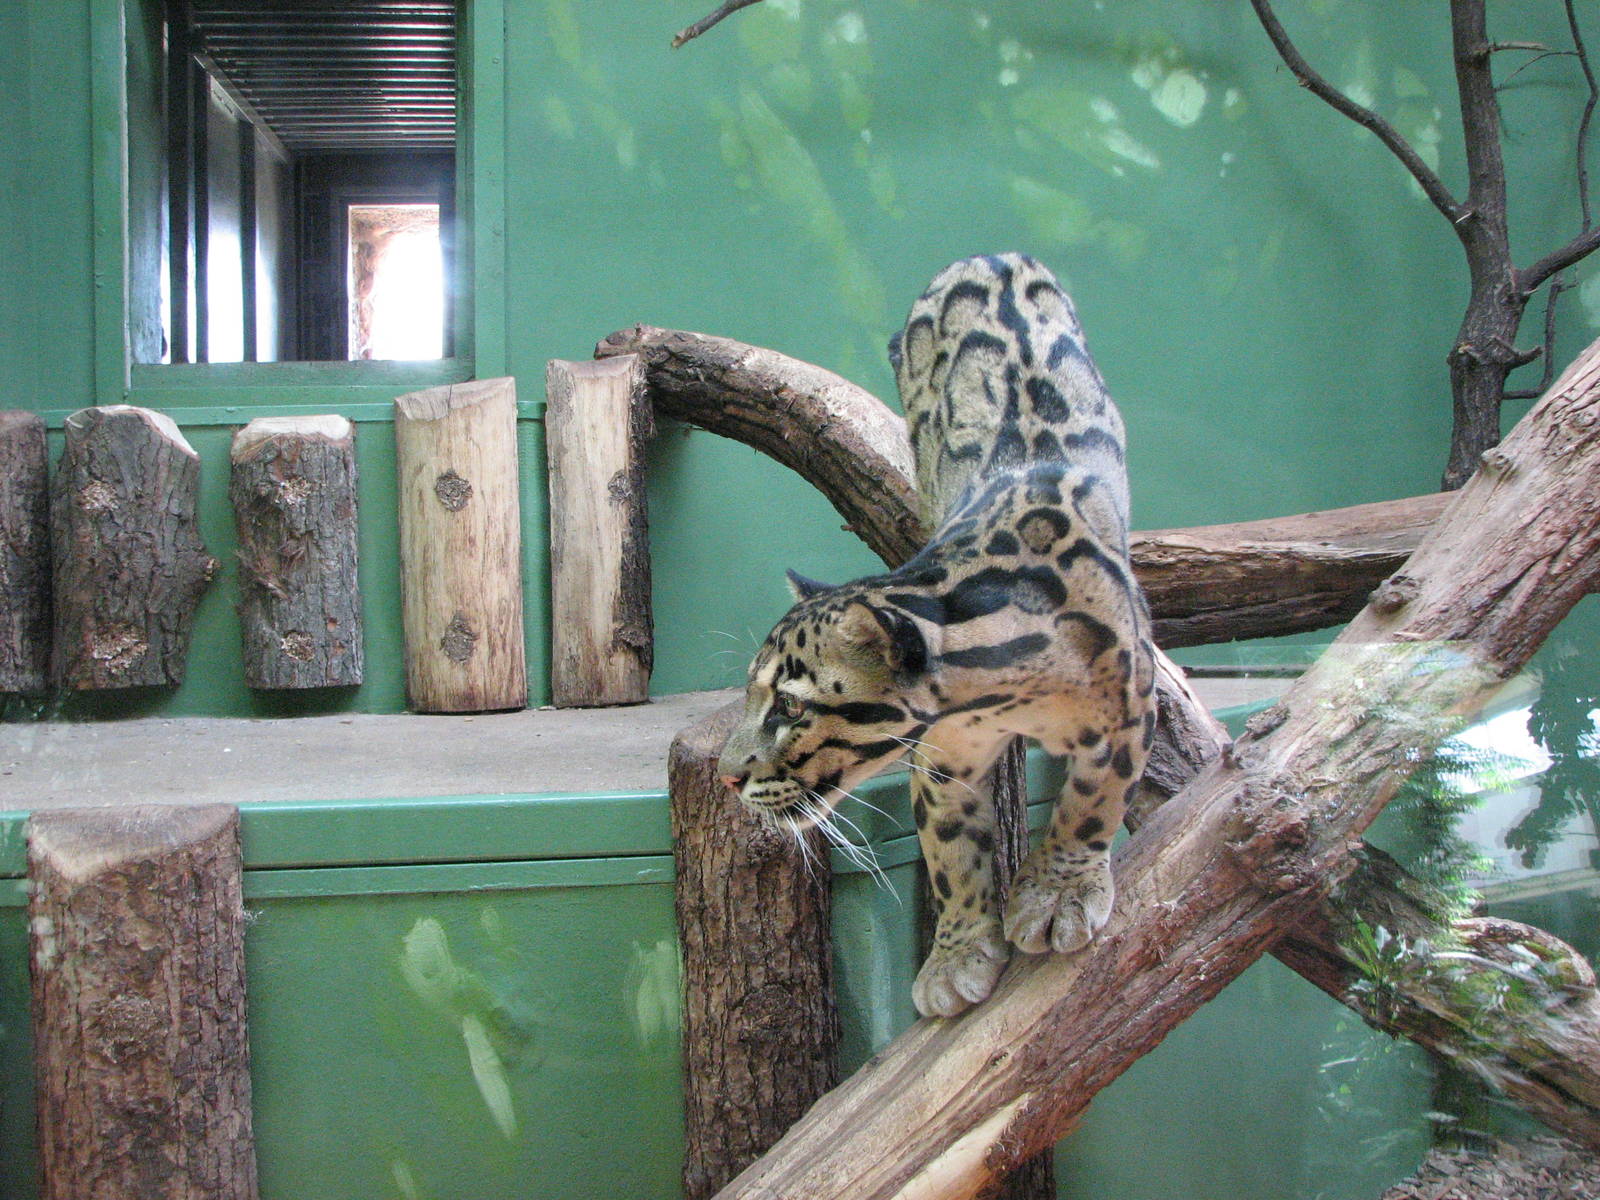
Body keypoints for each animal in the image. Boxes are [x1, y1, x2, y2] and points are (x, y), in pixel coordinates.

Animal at [718, 253, 1156, 1018]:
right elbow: (951, 851)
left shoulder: (1129, 704)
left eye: (791, 707)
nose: (726, 774)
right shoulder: (944, 756)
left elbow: (1091, 802)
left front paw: (1059, 890)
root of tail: (988, 255)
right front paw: (956, 955)